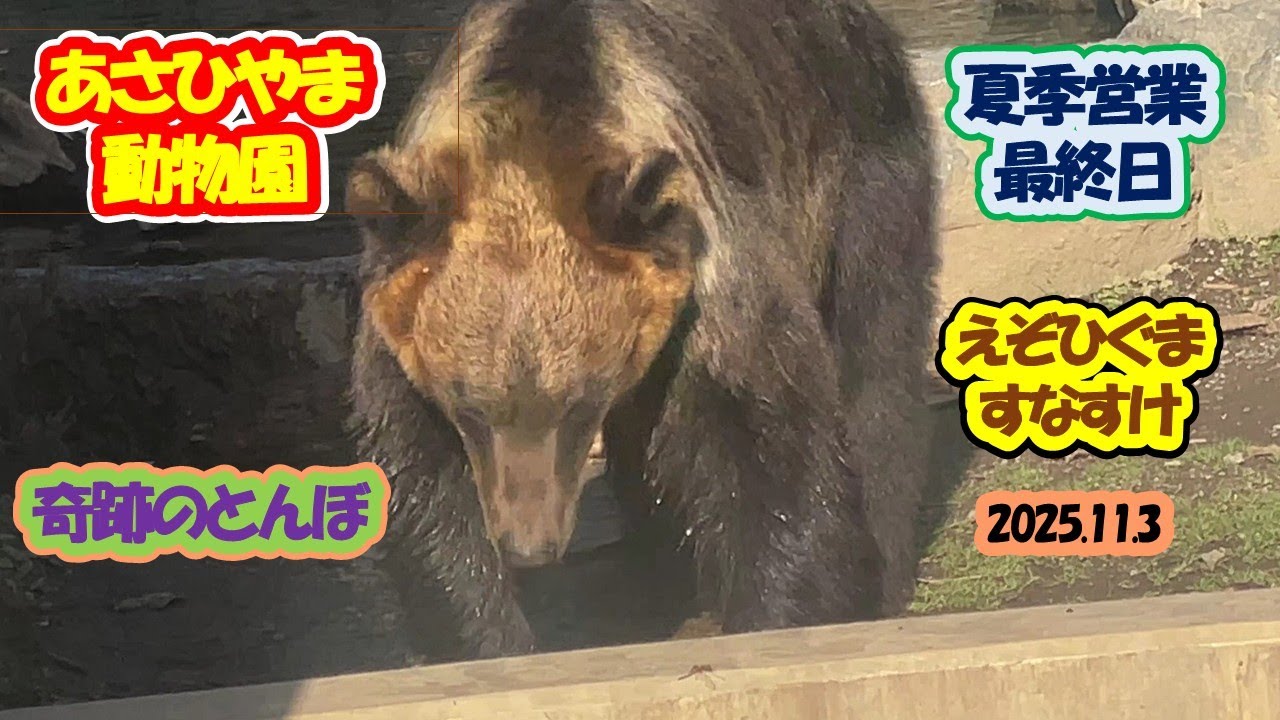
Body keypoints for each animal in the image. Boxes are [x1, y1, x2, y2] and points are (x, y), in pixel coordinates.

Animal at [345, 0, 938, 660]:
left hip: (858, 163)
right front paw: (491, 637)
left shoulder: (713, 276)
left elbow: (774, 446)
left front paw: (775, 615)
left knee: (876, 356)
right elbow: (422, 479)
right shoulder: (399, 330)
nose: (530, 546)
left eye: (578, 406)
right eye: (467, 408)